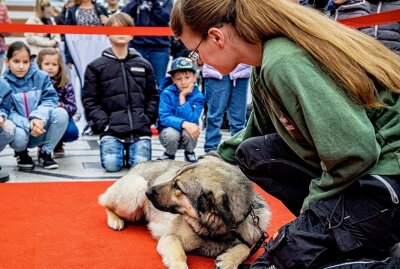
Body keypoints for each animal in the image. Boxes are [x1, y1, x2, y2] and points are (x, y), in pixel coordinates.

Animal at [99, 153, 272, 268]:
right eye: (174, 179)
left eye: (178, 187)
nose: (149, 192)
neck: (216, 229)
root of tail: (138, 165)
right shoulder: (170, 238)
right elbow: (179, 253)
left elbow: (246, 247)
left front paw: (229, 260)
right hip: (136, 187)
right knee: (105, 202)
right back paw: (115, 219)